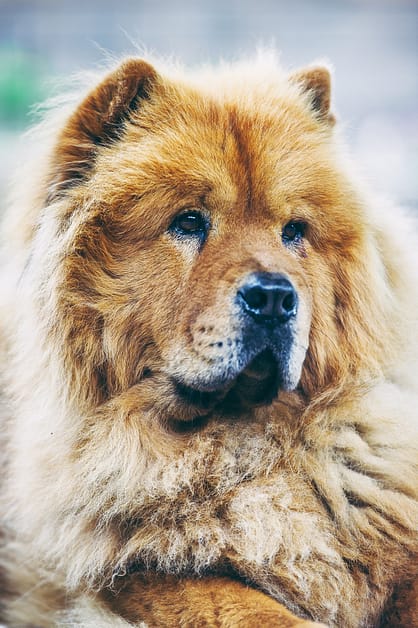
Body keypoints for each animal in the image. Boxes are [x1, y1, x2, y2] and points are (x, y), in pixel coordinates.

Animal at [0, 54, 418, 628]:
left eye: (293, 231)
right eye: (189, 222)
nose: (274, 298)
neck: (236, 446)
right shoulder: (143, 572)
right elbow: (253, 607)